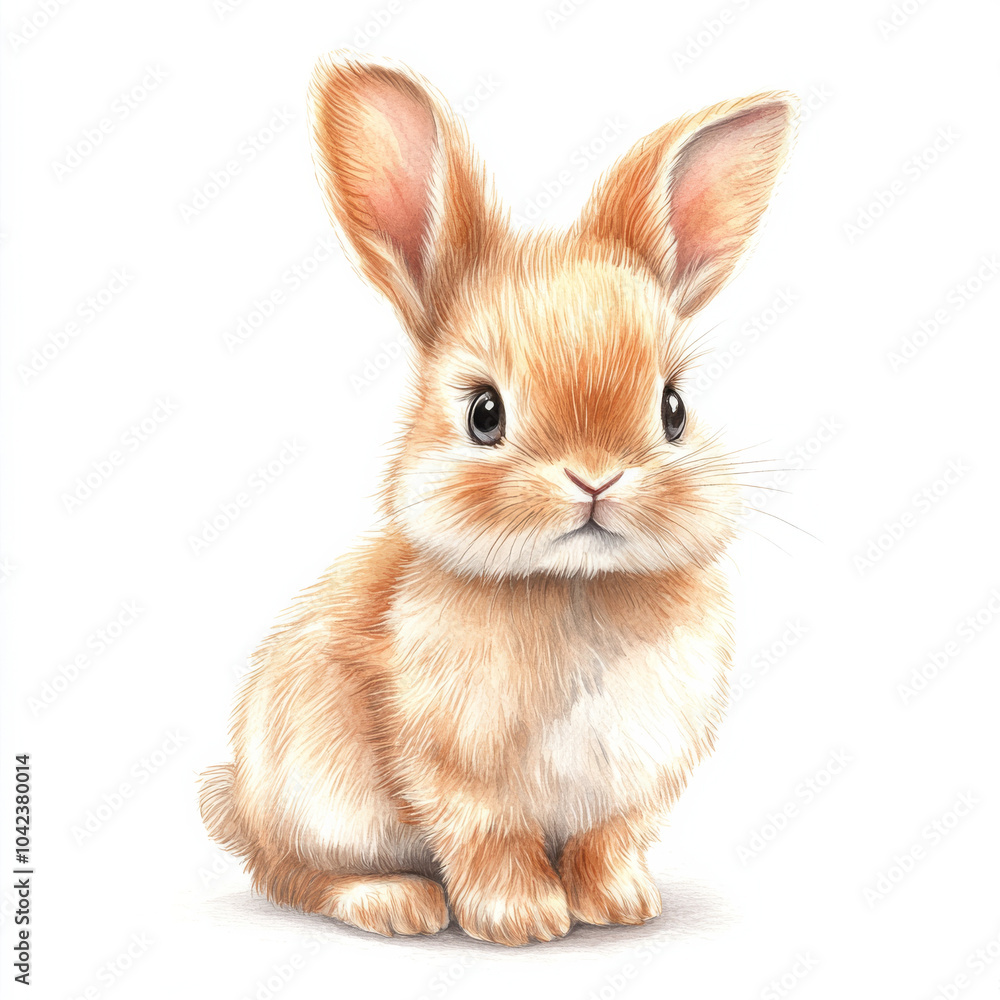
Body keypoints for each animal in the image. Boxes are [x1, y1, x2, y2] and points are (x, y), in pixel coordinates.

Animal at [199, 51, 796, 946]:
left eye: (673, 408)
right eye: (485, 413)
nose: (595, 477)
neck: (575, 588)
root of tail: (237, 801)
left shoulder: (624, 794)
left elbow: (605, 842)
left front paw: (620, 907)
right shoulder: (457, 779)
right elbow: (492, 842)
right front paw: (523, 923)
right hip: (318, 795)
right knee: (293, 874)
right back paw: (397, 904)